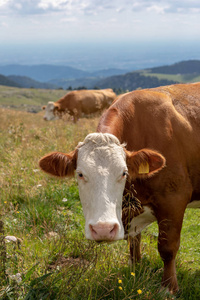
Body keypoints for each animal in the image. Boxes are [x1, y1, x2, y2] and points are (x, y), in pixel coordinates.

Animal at [39, 82, 200, 292]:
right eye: (80, 173)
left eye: (124, 172)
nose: (102, 229)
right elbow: (134, 244)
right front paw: (135, 271)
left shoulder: (174, 200)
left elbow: (167, 248)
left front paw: (168, 287)